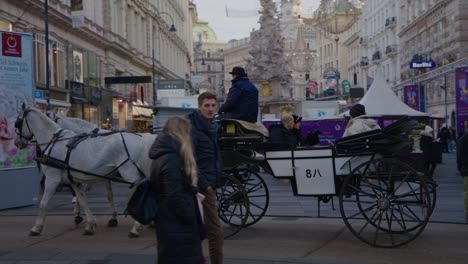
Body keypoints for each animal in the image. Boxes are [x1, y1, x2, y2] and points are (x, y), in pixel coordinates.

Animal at [13, 104, 154, 236]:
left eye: (17, 122)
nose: (16, 143)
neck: (55, 141)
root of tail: (142, 138)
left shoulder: (53, 179)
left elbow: (43, 203)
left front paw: (36, 228)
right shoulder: (77, 179)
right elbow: (84, 199)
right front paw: (89, 223)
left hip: (129, 173)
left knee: (140, 190)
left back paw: (136, 226)